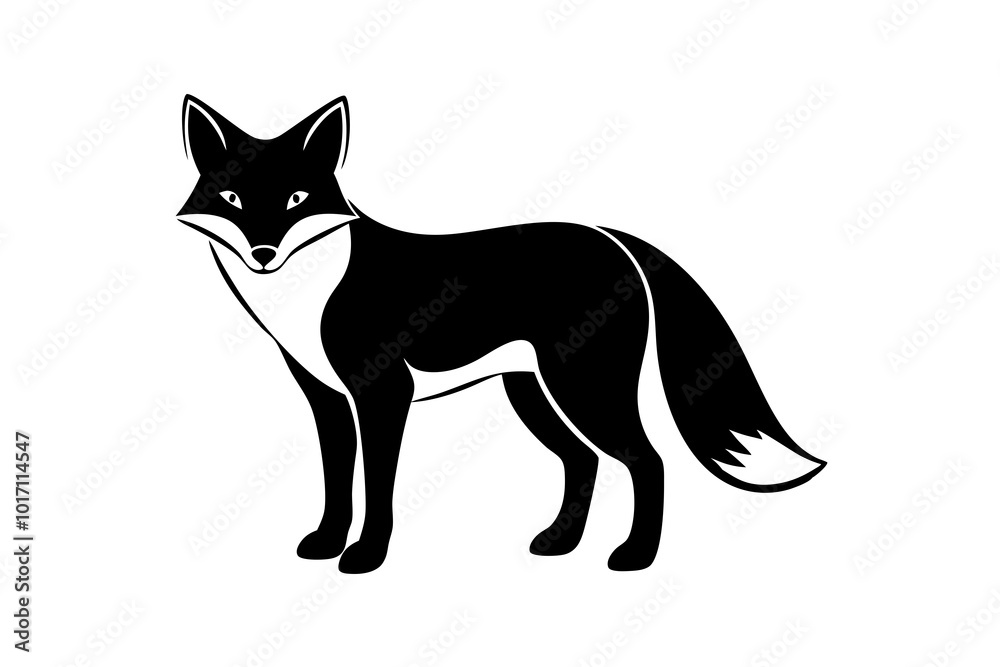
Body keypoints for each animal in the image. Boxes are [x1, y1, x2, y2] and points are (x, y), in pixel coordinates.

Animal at [176, 94, 825, 573]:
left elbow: (377, 484)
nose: (264, 254)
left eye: (296, 198)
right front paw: (325, 543)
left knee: (649, 461)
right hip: (533, 393)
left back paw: (635, 557)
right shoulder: (326, 398)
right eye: (232, 198)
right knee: (583, 462)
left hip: (582, 389)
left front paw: (365, 556)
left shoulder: (383, 393)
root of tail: (610, 236)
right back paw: (559, 544)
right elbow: (338, 478)